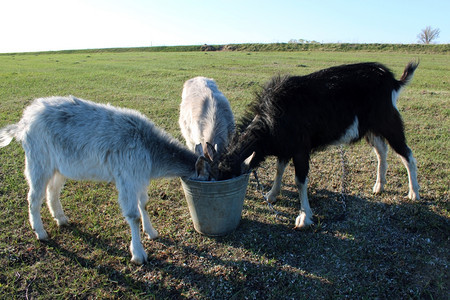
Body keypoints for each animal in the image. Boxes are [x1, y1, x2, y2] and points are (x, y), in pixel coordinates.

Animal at [0, 96, 211, 264]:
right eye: (211, 176)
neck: (150, 149)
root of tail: (23, 122)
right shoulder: (127, 177)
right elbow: (133, 215)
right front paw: (138, 254)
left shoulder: (139, 177)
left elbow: (144, 204)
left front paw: (151, 232)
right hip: (38, 161)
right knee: (34, 197)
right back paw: (41, 233)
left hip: (59, 167)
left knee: (52, 191)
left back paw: (61, 219)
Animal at [220, 62, 420, 229]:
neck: (272, 118)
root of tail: (392, 81)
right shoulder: (285, 146)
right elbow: (279, 169)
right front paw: (272, 194)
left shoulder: (300, 149)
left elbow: (299, 180)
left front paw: (304, 217)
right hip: (371, 128)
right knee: (381, 151)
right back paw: (379, 186)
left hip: (388, 122)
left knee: (407, 154)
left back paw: (413, 193)